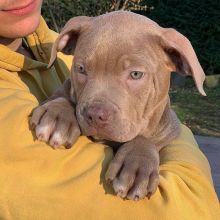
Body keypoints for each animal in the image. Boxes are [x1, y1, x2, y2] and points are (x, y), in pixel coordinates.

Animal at [29, 10, 206, 201]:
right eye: (81, 69)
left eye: (135, 74)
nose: (95, 115)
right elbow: (63, 97)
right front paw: (58, 115)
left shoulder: (169, 130)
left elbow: (145, 138)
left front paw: (137, 165)